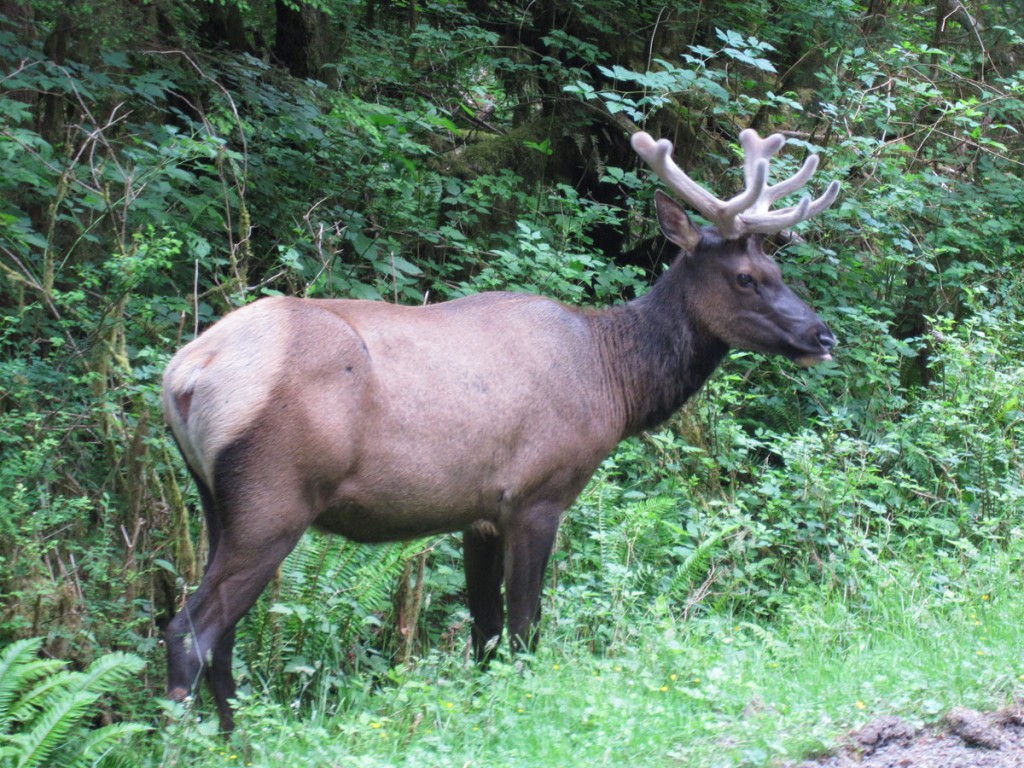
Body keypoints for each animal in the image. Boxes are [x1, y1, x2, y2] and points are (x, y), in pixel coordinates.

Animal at [161, 128, 840, 731]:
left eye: (778, 270)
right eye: (746, 277)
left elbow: (483, 634)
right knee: (191, 627)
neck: (612, 383)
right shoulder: (537, 494)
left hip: (216, 502)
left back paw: (232, 737)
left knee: (219, 633)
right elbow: (523, 628)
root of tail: (186, 375)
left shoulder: (478, 511)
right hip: (274, 497)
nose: (823, 335)